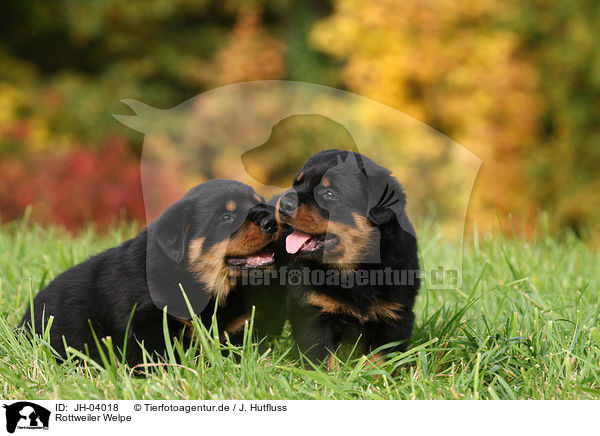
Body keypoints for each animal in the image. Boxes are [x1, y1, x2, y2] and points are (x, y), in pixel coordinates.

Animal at [276, 150, 420, 368]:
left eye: (329, 194)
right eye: (297, 184)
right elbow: (322, 357)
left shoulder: (394, 316)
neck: (354, 269)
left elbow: (381, 359)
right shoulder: (312, 312)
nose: (284, 204)